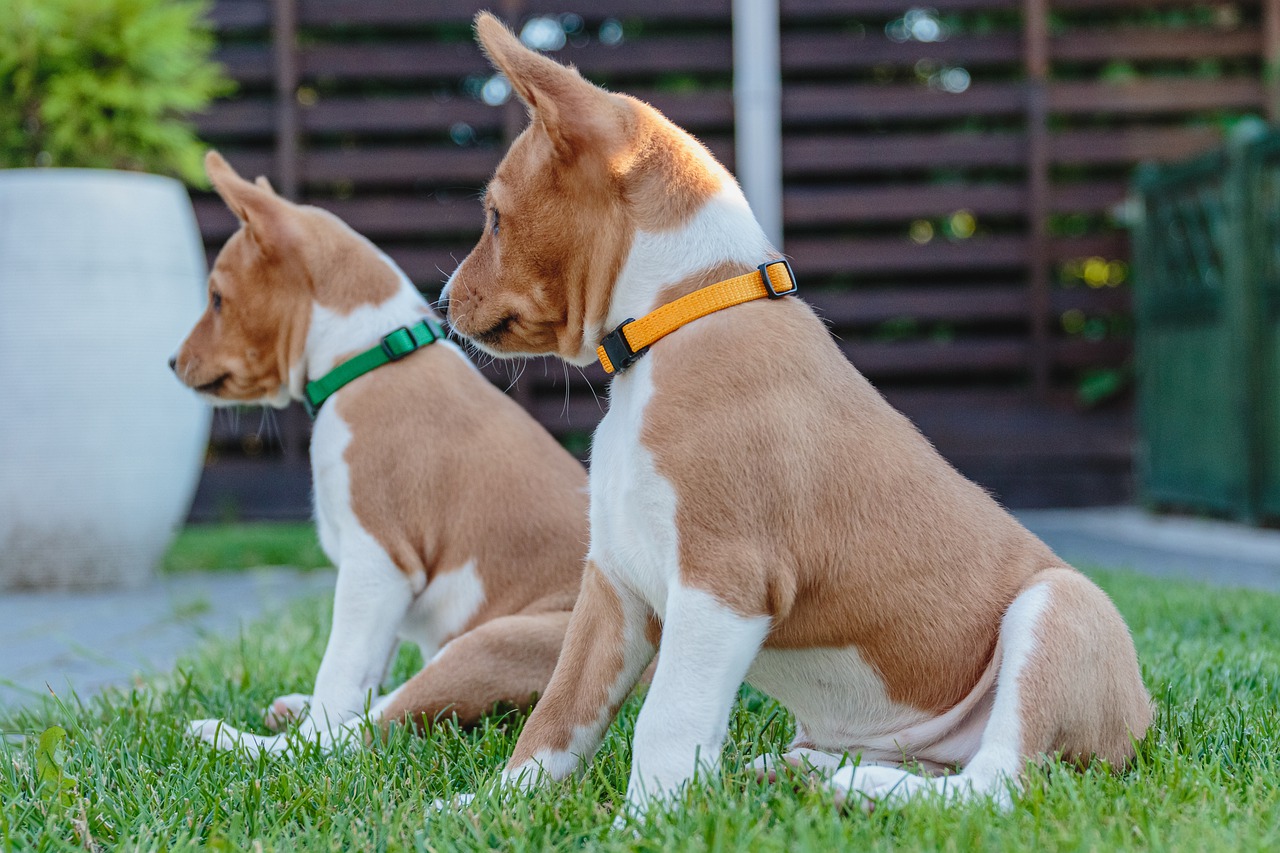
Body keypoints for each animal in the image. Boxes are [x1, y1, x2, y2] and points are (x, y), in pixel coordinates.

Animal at [172, 149, 586, 753]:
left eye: (218, 299)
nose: (172, 362)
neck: (368, 356)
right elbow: (364, 670)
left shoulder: (377, 562)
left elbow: (341, 671)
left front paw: (309, 721)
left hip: (491, 644)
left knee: (354, 737)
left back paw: (234, 737)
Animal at [445, 14, 1157, 809]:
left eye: (494, 218)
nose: (442, 302)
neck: (678, 321)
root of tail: (1141, 720)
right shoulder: (615, 587)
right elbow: (557, 717)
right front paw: (489, 807)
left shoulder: (722, 582)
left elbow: (664, 721)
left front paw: (645, 821)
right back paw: (808, 772)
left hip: (1059, 606)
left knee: (993, 785)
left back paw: (863, 783)